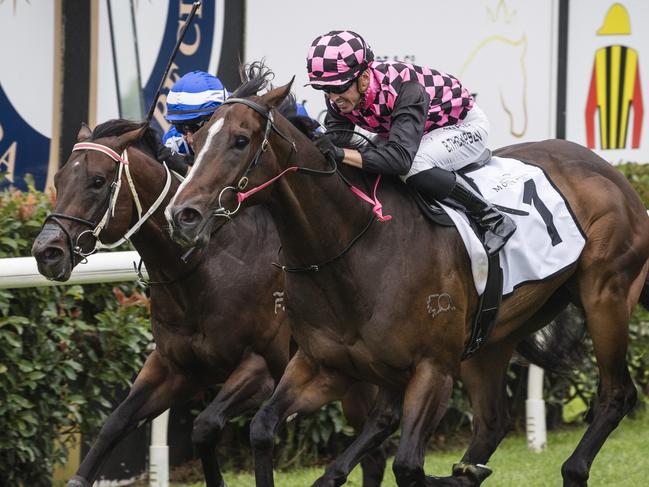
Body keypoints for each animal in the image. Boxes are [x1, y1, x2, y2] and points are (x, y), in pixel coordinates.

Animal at [30, 119, 382, 487]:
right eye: (58, 179)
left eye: (97, 181)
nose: (47, 252)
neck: (205, 269)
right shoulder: (176, 368)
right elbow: (115, 422)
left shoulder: (262, 366)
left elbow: (204, 426)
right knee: (375, 457)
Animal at [166, 68, 648, 487]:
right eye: (195, 140)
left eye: (240, 140)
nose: (182, 215)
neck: (352, 248)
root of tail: (608, 170)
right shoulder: (323, 365)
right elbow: (263, 427)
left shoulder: (432, 368)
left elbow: (409, 467)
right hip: (492, 338)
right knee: (490, 422)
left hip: (605, 295)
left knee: (617, 395)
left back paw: (567, 468)